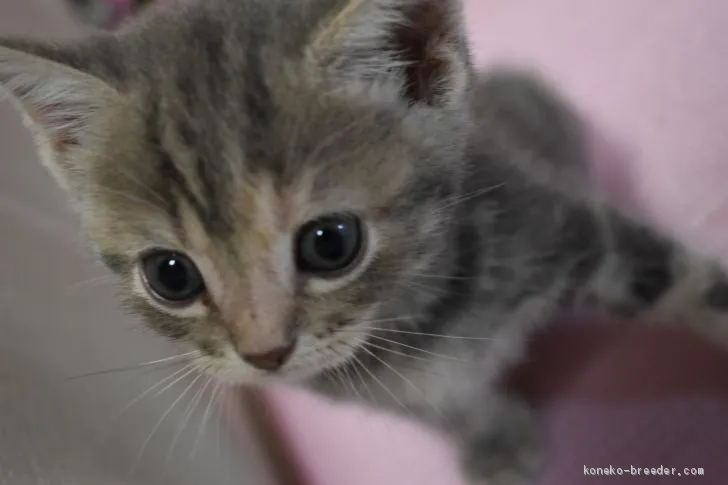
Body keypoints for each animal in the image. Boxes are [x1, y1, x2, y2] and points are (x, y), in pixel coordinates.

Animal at [1, 0, 728, 484]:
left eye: (331, 243)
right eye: (171, 275)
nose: (264, 355)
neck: (414, 323)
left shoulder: (549, 223)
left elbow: (684, 283)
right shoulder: (371, 390)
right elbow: (446, 409)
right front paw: (493, 437)